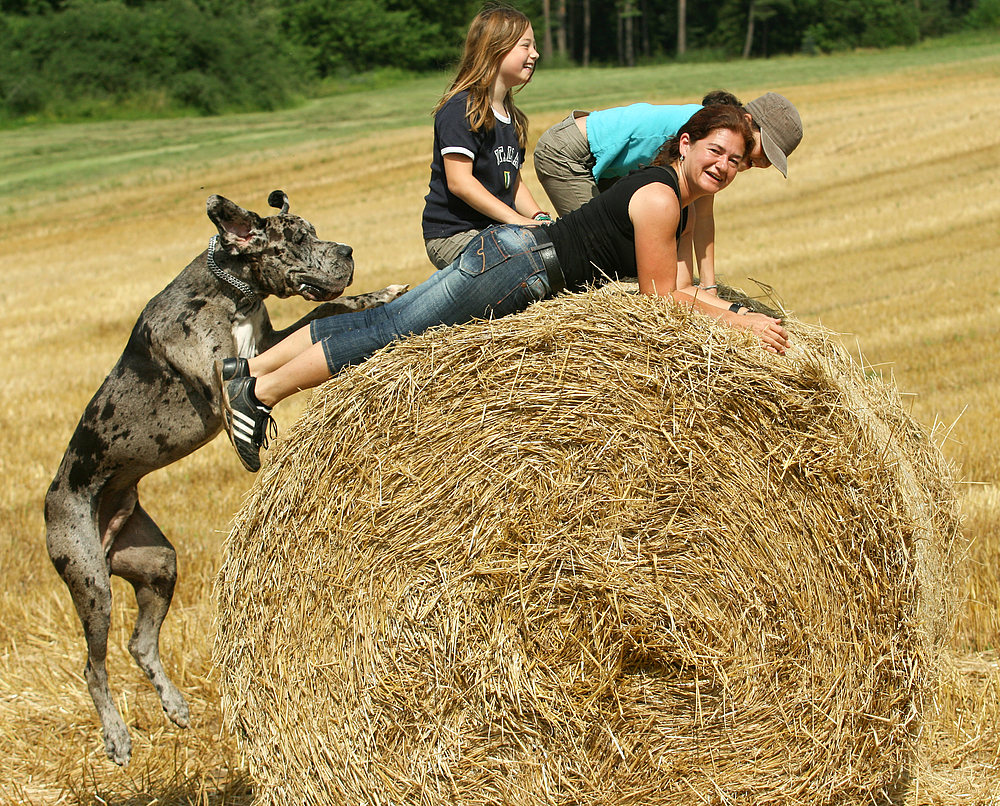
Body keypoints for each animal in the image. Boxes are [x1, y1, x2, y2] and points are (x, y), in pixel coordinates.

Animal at [46, 191, 406, 772]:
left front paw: (380, 295)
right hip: (90, 580)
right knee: (92, 665)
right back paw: (117, 736)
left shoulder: (269, 337)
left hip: (156, 562)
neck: (233, 292)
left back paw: (173, 705)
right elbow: (264, 363)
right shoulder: (226, 369)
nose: (348, 250)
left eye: (314, 230)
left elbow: (319, 313)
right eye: (297, 238)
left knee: (139, 644)